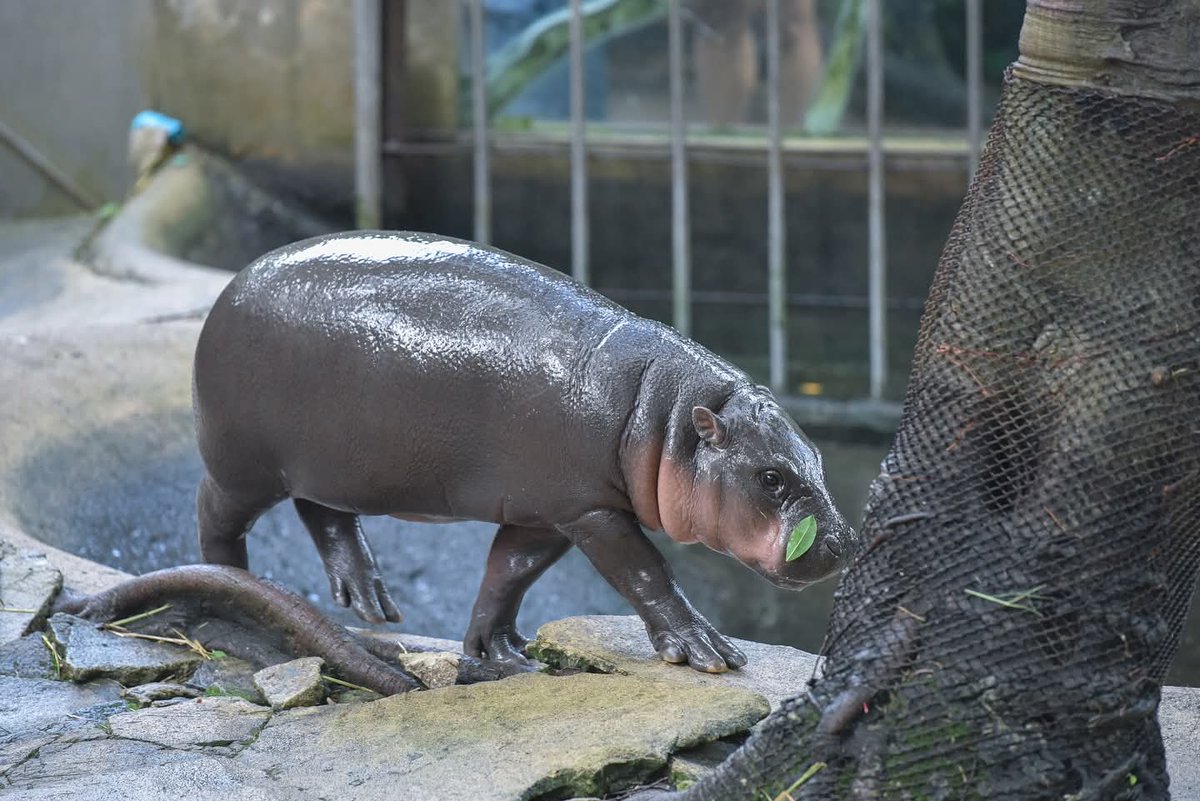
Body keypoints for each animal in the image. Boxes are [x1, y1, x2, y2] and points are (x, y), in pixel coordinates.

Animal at [193, 231, 854, 673]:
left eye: (818, 458)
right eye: (770, 477)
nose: (844, 544)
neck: (663, 416)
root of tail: (230, 286)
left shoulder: (547, 513)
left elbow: (508, 572)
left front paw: (504, 652)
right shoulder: (591, 510)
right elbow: (645, 571)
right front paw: (709, 652)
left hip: (331, 463)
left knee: (324, 513)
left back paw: (373, 603)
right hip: (243, 464)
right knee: (216, 512)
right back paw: (229, 589)